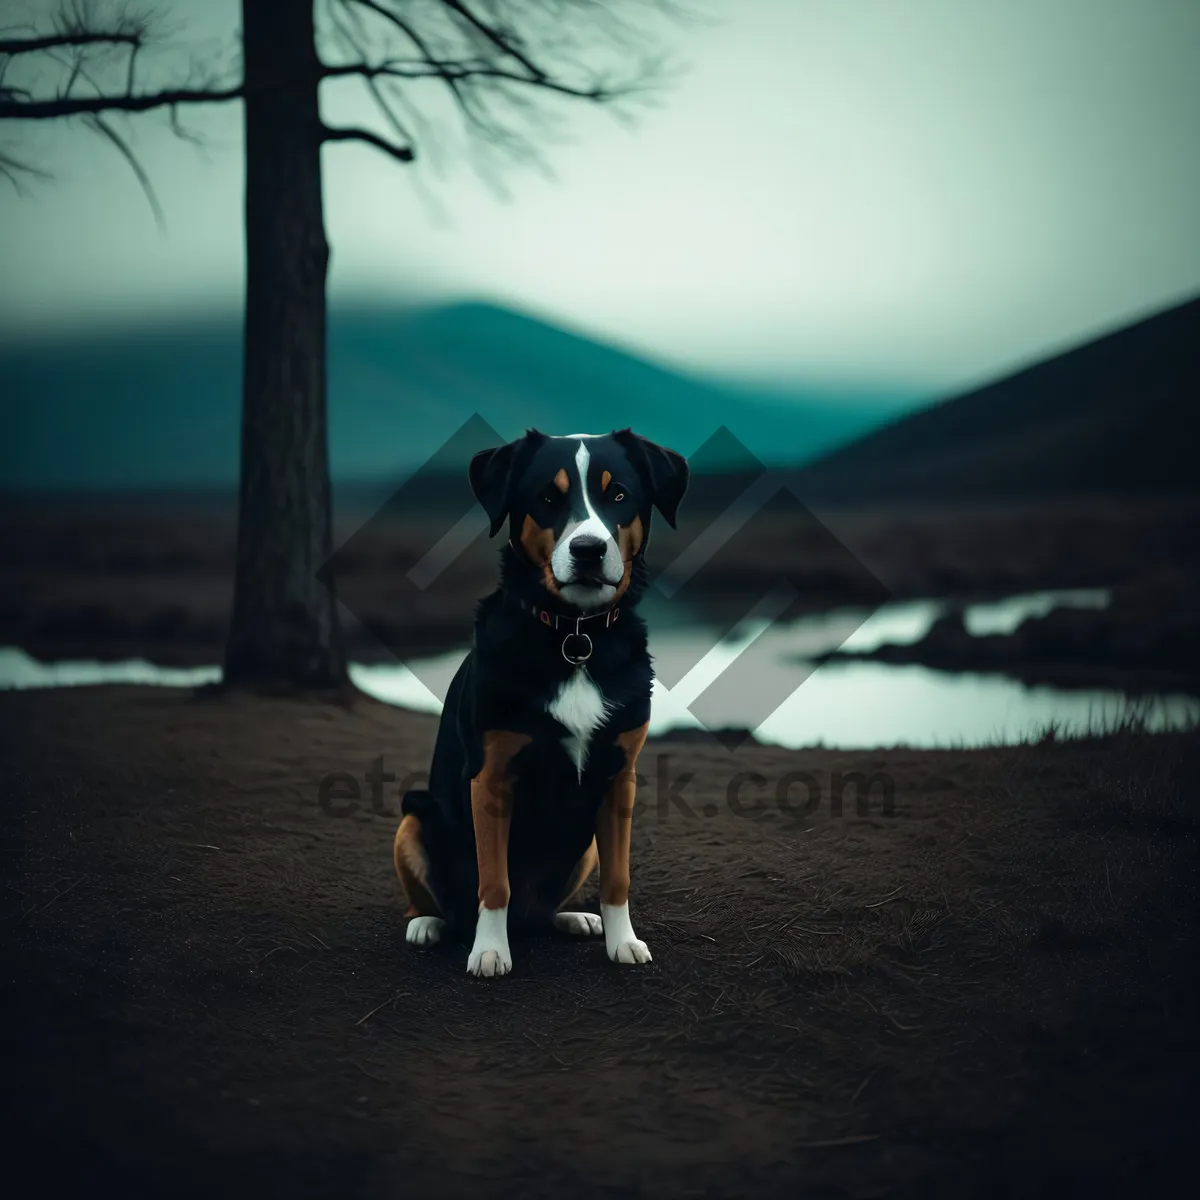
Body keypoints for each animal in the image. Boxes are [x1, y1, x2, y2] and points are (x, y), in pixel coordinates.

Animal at [396, 429, 686, 974]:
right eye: (548, 499)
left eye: (619, 495)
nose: (589, 549)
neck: (575, 636)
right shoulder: (491, 777)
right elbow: (494, 881)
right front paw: (490, 950)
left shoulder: (620, 776)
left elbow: (618, 879)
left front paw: (623, 941)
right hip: (413, 816)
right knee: (443, 900)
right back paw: (429, 924)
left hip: (583, 845)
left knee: (543, 909)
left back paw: (572, 918)